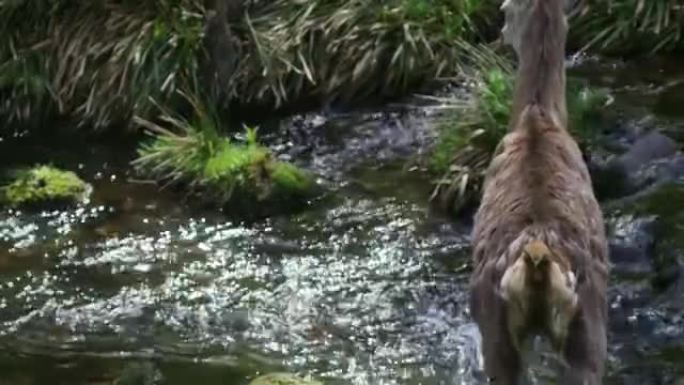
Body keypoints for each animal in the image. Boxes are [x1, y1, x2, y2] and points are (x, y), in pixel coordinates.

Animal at [470, 0, 608, 384]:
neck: (537, 118)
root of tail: (537, 262)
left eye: (504, 10)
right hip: (585, 333)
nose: (496, 38)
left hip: (499, 332)